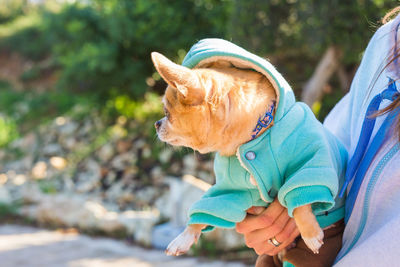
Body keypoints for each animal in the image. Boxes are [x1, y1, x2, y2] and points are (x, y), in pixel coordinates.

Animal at [152, 51, 326, 258]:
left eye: (167, 113)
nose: (156, 123)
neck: (250, 138)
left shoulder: (307, 161)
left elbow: (300, 196)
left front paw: (311, 234)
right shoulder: (232, 190)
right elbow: (207, 212)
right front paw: (183, 238)